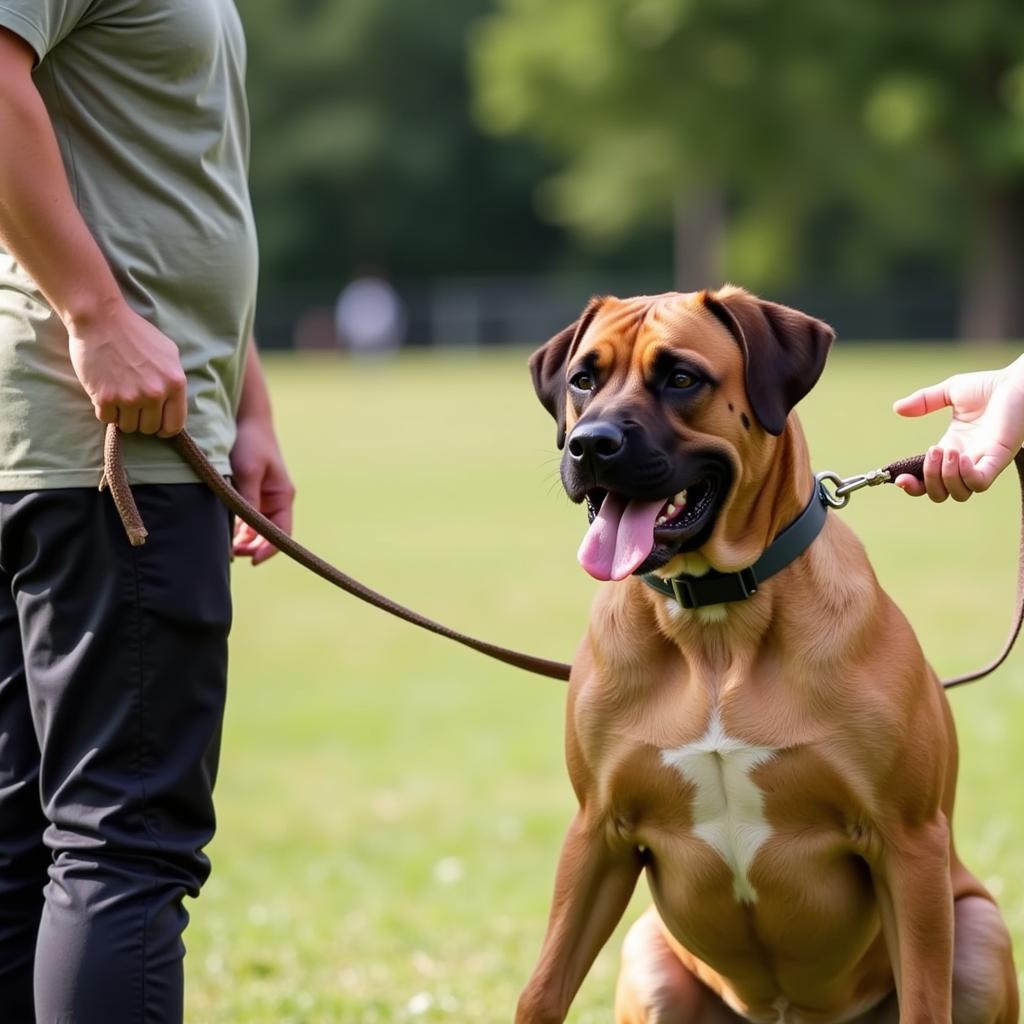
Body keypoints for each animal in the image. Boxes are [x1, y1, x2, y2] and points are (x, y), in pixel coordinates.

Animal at [520, 288, 1015, 1024]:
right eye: (584, 379)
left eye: (681, 377)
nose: (590, 444)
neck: (717, 625)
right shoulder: (597, 835)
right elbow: (543, 988)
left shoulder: (908, 843)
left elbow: (927, 999)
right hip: (648, 956)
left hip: (981, 934)